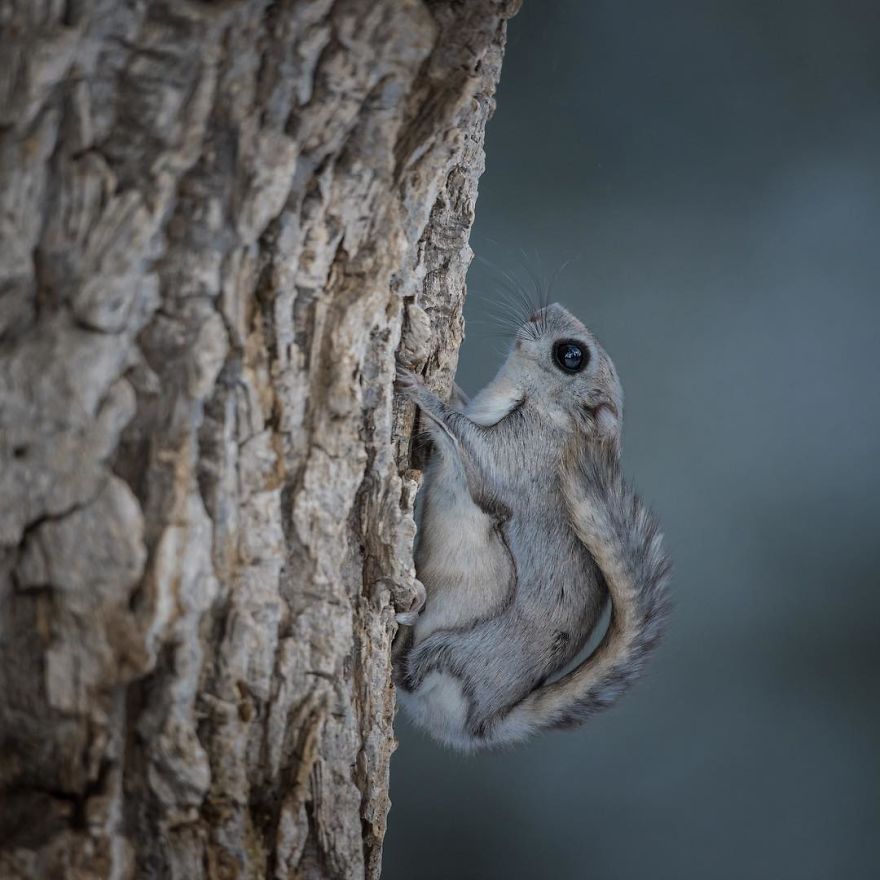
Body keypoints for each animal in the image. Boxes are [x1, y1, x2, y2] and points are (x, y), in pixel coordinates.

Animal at [393, 303, 671, 751]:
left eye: (571, 355)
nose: (546, 309)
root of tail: (485, 723)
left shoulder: (515, 459)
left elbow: (467, 442)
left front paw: (418, 388)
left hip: (455, 652)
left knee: (411, 674)